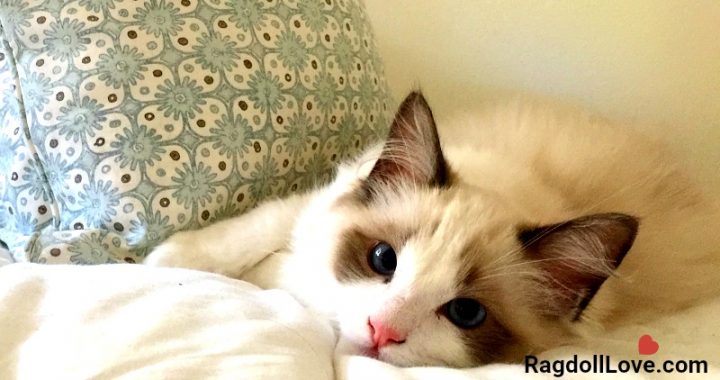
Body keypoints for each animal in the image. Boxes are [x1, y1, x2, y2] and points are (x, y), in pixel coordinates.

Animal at [145, 91, 720, 368]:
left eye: (466, 313)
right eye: (383, 260)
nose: (382, 331)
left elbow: (288, 273)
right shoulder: (316, 204)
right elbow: (262, 230)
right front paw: (165, 261)